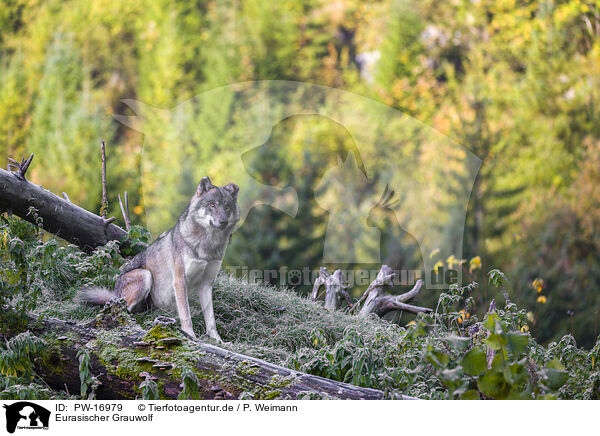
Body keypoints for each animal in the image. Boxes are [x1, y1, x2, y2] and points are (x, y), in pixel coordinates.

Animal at [78, 175, 239, 342]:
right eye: (212, 204)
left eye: (227, 206)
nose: (223, 222)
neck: (207, 246)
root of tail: (114, 295)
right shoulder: (180, 281)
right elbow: (186, 315)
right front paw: (191, 336)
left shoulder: (206, 284)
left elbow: (211, 319)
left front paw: (218, 341)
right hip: (145, 275)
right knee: (121, 310)